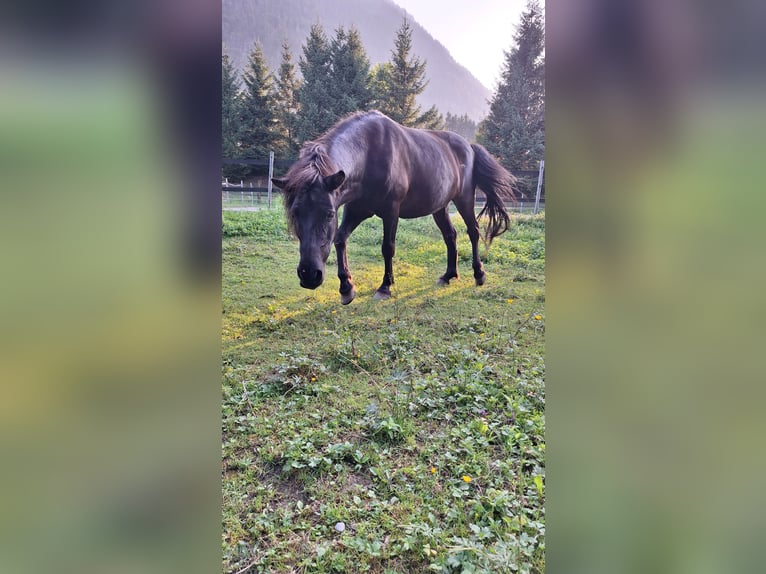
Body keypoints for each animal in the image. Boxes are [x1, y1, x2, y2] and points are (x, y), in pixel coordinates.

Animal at [272, 111, 520, 306]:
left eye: (328, 214)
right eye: (294, 213)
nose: (309, 275)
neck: (368, 155)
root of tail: (469, 146)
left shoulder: (391, 211)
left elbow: (387, 247)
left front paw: (385, 287)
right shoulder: (356, 210)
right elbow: (340, 239)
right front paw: (346, 288)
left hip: (464, 199)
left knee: (474, 232)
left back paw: (479, 274)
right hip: (440, 207)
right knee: (450, 236)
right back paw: (448, 276)